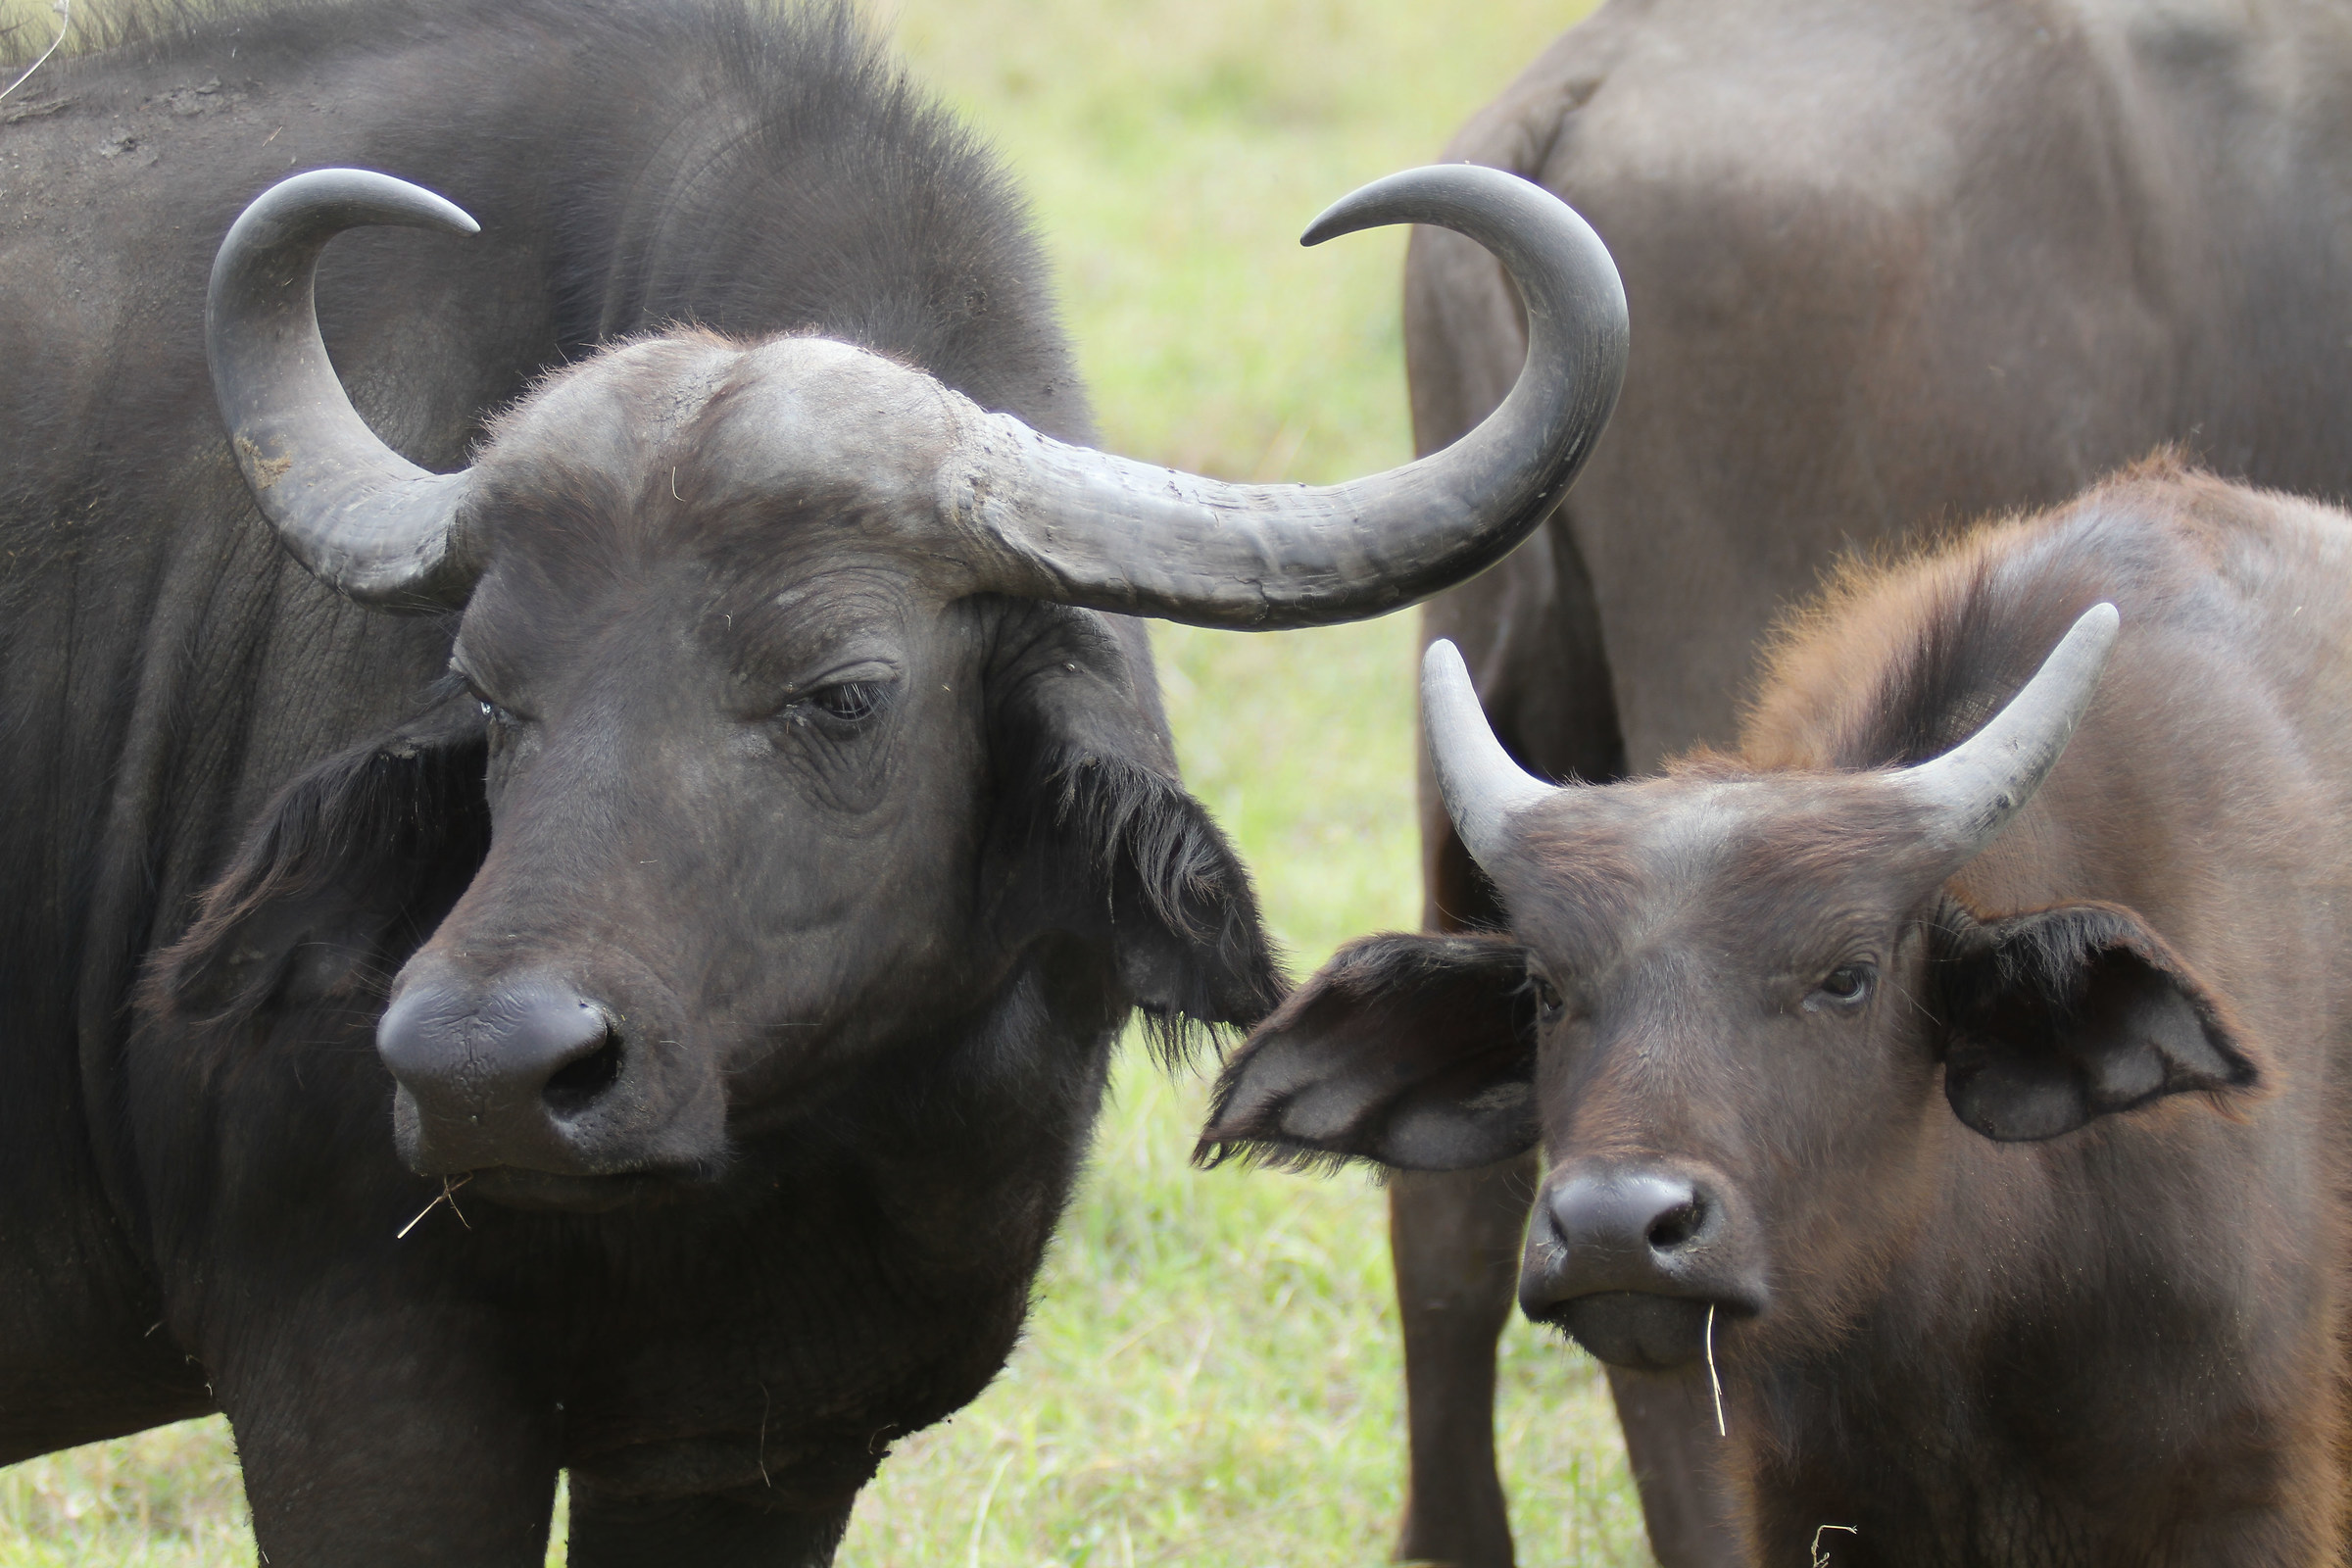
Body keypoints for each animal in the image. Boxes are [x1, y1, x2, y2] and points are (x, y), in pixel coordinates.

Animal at [0, 2, 1627, 1562]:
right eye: (487, 692)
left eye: (840, 693)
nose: (483, 1077)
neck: (789, 1167)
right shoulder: (362, 1387)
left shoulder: (761, 1446)